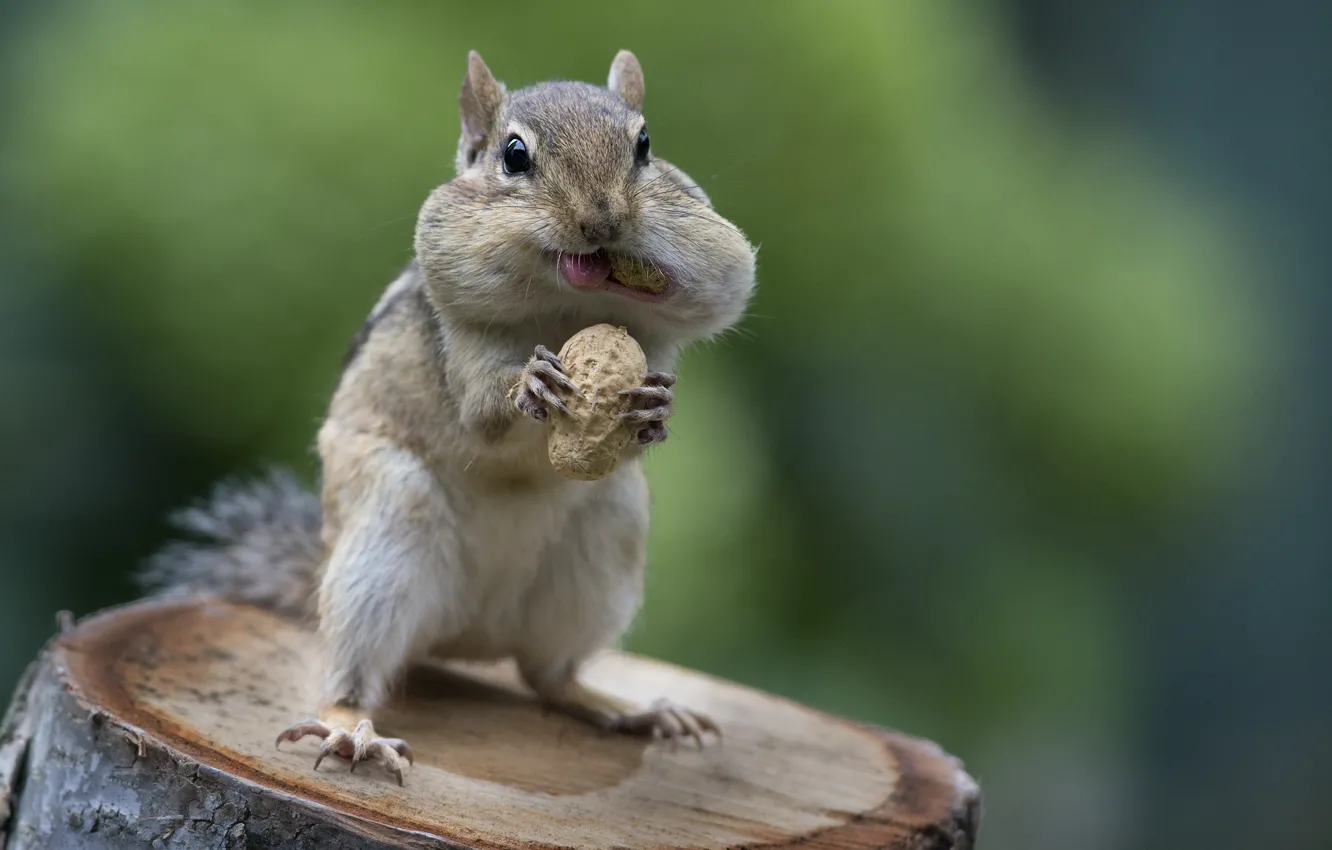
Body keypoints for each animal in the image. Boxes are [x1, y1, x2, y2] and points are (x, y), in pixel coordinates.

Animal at [138, 50, 757, 785]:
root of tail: (467, 635)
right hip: (387, 526)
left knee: (548, 675)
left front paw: (655, 410)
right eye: (514, 155)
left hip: (609, 531)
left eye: (644, 146)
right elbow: (482, 410)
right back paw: (352, 731)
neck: (566, 304)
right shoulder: (458, 341)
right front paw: (530, 382)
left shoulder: (656, 345)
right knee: (353, 674)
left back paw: (628, 707)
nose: (603, 222)